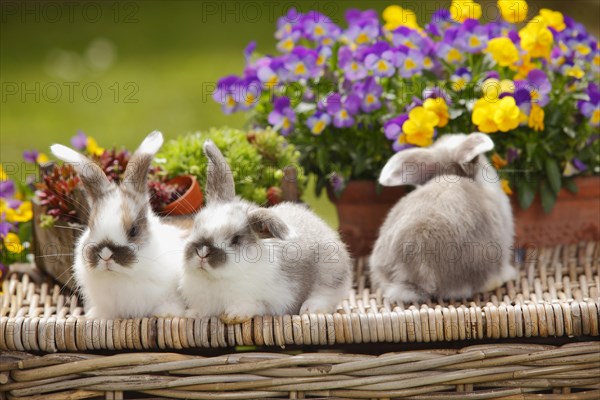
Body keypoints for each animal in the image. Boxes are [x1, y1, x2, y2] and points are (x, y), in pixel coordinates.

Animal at [51, 131, 188, 318]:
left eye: (133, 230)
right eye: (91, 226)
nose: (106, 254)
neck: (121, 276)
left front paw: (167, 314)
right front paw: (95, 316)